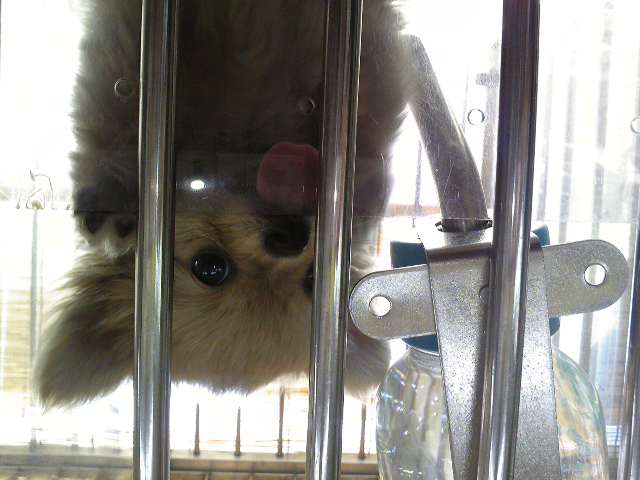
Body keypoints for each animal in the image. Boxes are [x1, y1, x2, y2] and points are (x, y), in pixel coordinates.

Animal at [35, 0, 423, 405]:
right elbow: (118, 111)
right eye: (210, 267)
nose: (290, 238)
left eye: (313, 279)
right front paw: (115, 195)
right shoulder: (127, 54)